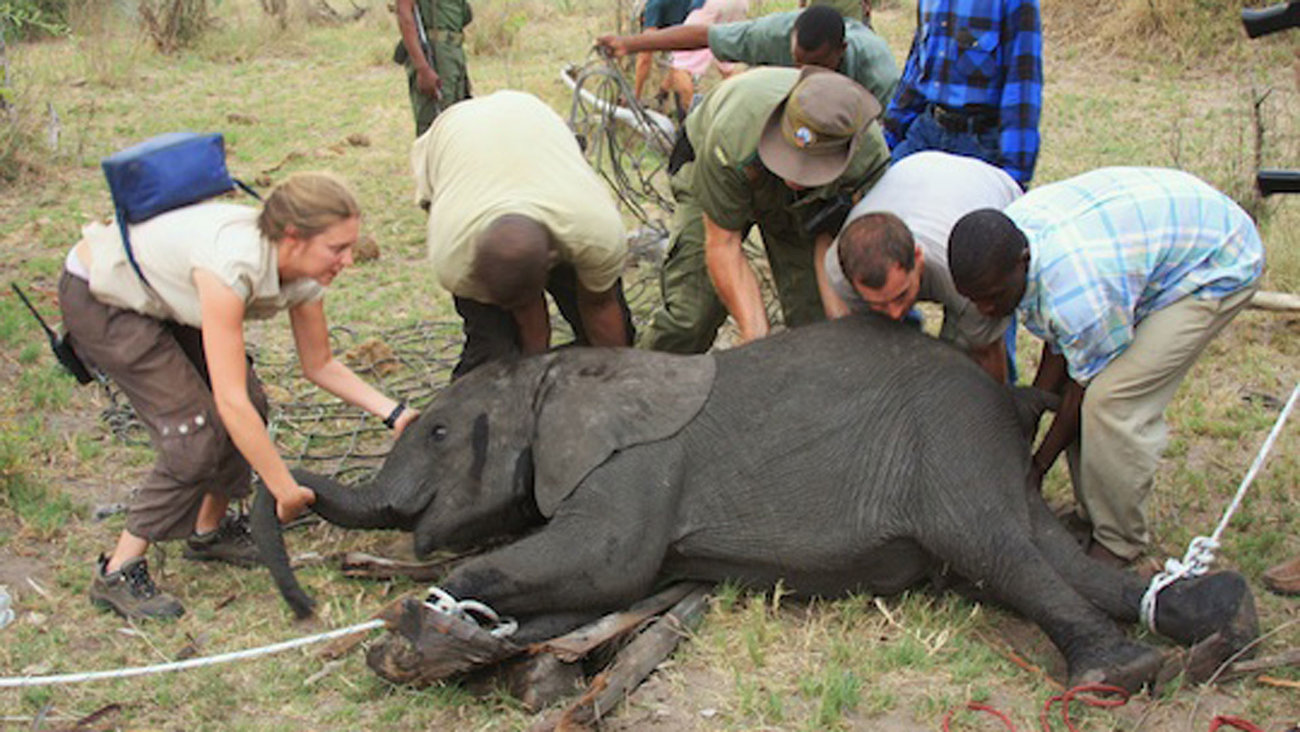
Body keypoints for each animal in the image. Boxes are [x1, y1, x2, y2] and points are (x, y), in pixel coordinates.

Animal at [250, 314, 1258, 691]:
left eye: (437, 434)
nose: (299, 600)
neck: (563, 373)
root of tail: (1006, 401)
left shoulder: (638, 467)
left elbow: (607, 564)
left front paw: (418, 629)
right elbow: (595, 592)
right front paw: (461, 645)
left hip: (945, 450)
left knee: (1000, 553)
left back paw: (1117, 676)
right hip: (972, 457)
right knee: (1042, 550)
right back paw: (1220, 629)